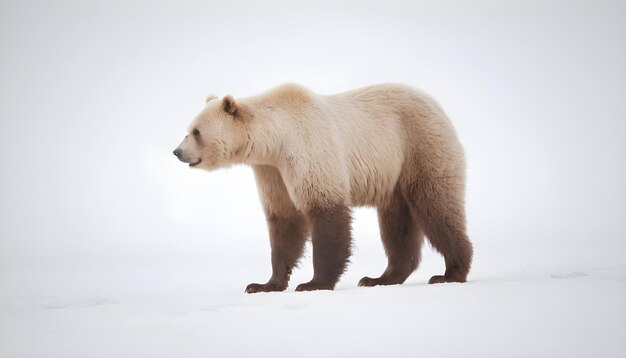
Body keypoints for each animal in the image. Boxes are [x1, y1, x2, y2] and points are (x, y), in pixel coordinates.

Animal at [172, 84, 472, 294]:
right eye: (188, 129)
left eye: (196, 132)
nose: (177, 152)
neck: (275, 139)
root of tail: (435, 104)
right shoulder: (271, 170)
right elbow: (284, 221)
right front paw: (263, 284)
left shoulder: (308, 147)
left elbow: (325, 212)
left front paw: (314, 283)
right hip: (394, 173)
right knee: (397, 224)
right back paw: (381, 278)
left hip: (419, 144)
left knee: (435, 204)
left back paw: (451, 272)